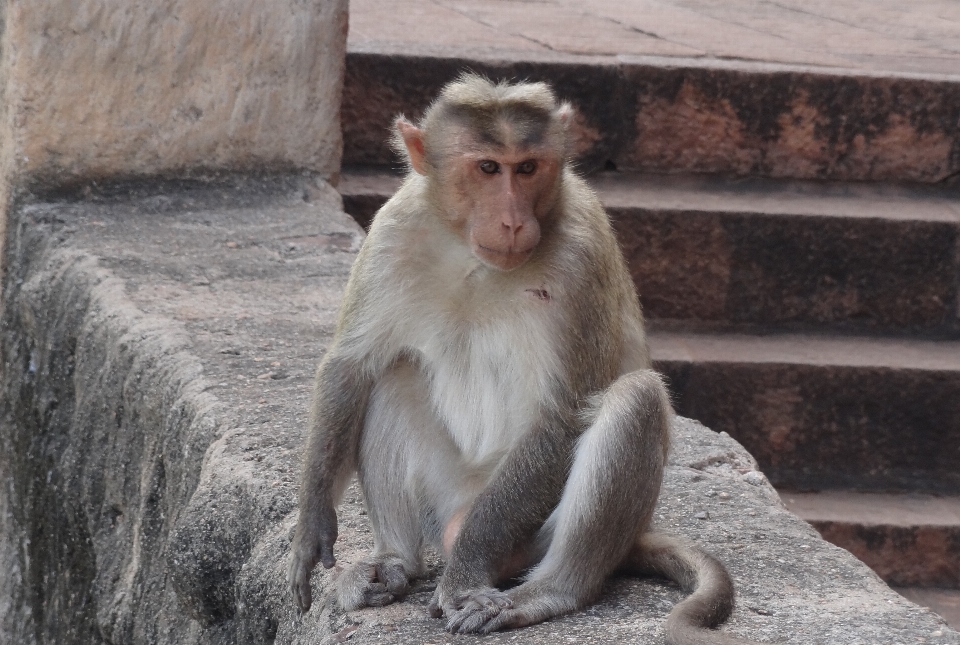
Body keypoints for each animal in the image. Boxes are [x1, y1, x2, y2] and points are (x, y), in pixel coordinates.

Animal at [288, 73, 752, 640]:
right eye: (489, 168)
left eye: (528, 168)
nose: (511, 222)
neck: (472, 255)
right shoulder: (394, 227)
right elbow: (352, 366)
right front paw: (311, 526)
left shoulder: (581, 252)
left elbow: (561, 416)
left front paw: (463, 579)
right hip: (446, 494)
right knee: (394, 372)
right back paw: (395, 561)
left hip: (530, 535)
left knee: (636, 398)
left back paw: (549, 590)